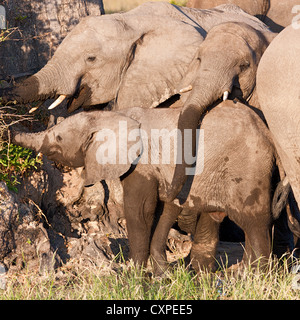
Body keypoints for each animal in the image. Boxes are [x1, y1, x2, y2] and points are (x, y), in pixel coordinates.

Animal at [11, 100, 298, 276]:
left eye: (58, 138)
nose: (10, 134)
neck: (113, 115)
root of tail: (269, 133)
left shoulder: (142, 164)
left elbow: (140, 211)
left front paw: (132, 273)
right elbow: (160, 210)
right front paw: (157, 273)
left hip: (248, 169)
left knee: (255, 223)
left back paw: (254, 276)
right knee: (214, 218)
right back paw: (206, 275)